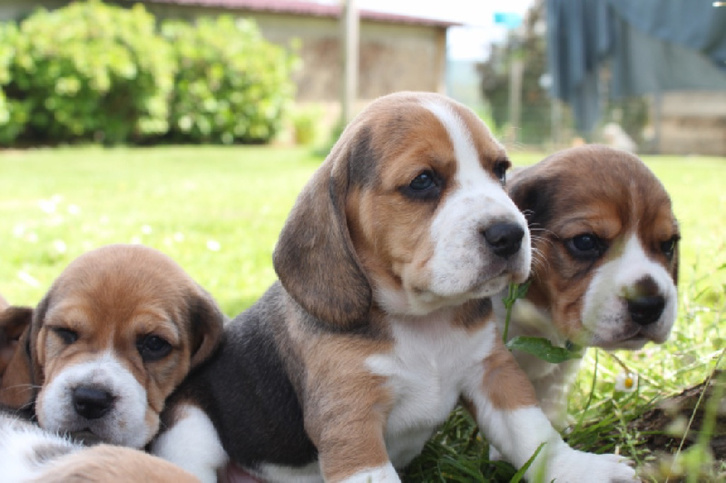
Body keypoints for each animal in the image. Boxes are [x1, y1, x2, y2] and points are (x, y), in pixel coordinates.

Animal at [155, 93, 636, 483]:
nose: (511, 235)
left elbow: (535, 433)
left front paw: (581, 469)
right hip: (189, 428)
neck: (422, 322)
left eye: (501, 171)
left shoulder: (494, 373)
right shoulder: (351, 423)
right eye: (423, 181)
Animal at [498, 146, 680, 430]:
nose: (649, 306)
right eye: (585, 241)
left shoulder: (564, 361)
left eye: (668, 244)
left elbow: (552, 395)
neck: (541, 318)